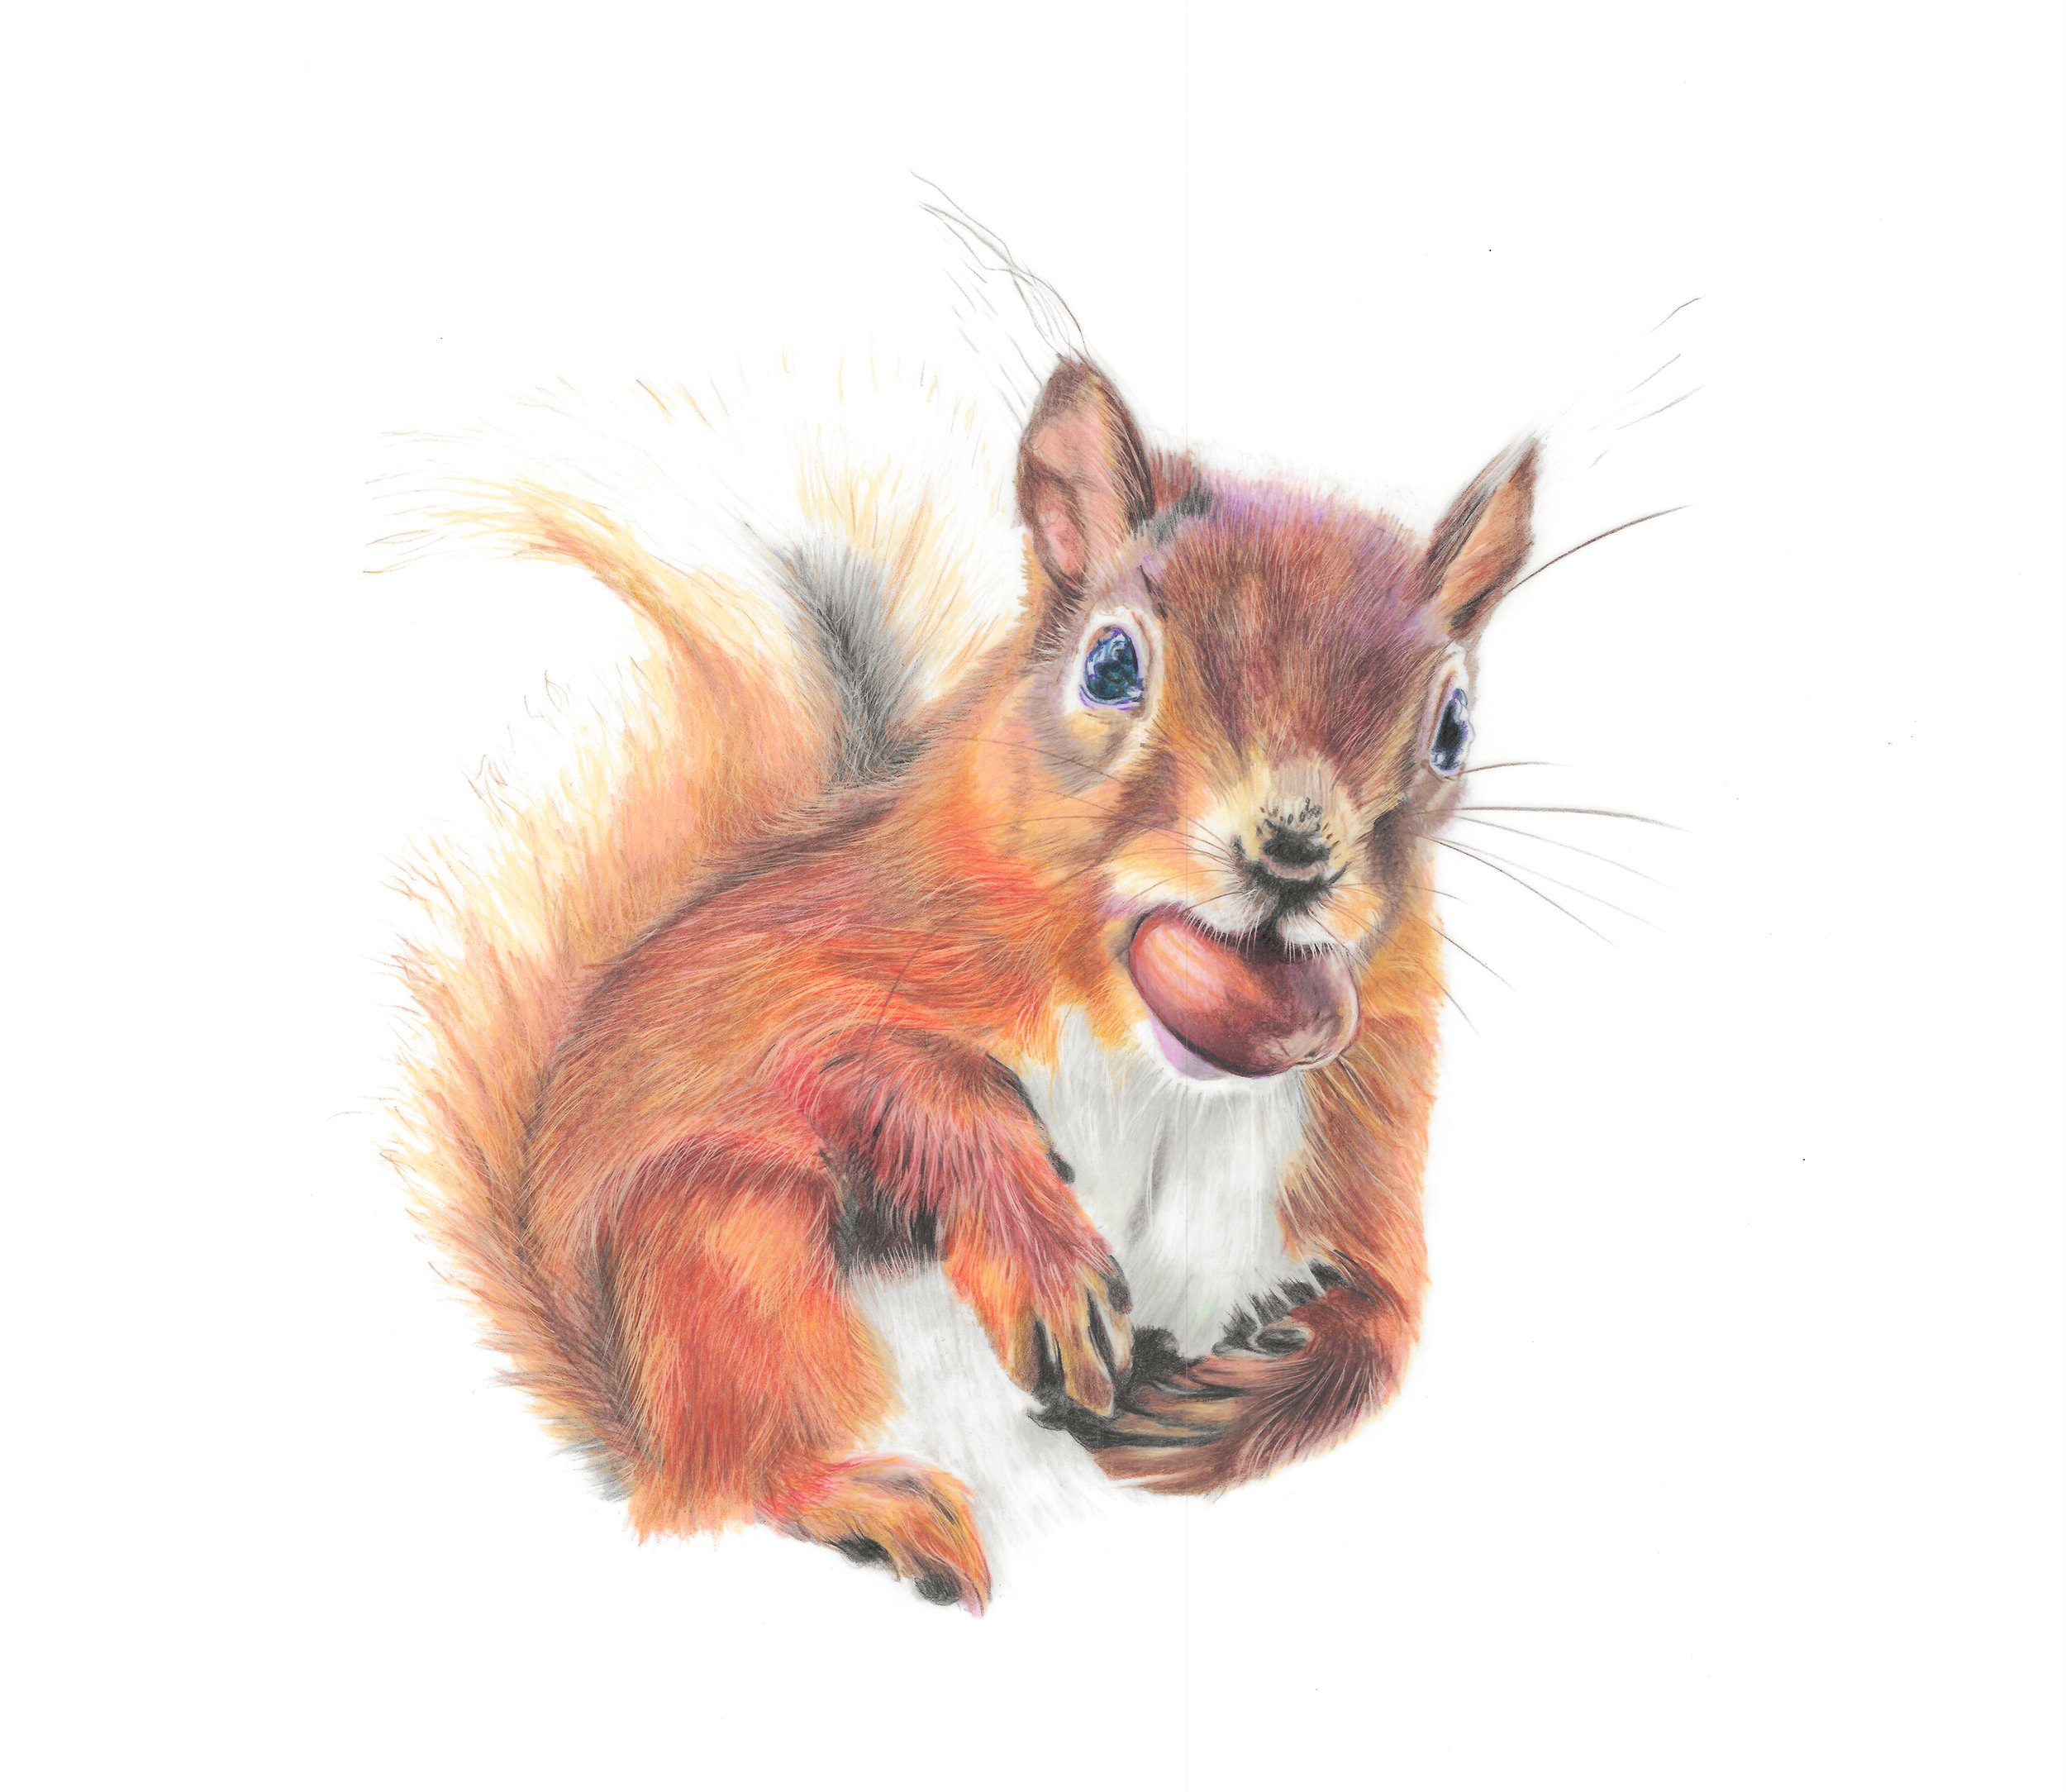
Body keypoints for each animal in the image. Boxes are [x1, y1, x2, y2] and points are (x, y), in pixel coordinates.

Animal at [392, 330, 1539, 1614]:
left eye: (1452, 728)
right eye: (1110, 664)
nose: (1293, 850)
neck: (1151, 1051)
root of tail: (632, 1433)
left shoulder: (1360, 1110)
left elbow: (1387, 1314)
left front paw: (1238, 1406)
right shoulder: (771, 969)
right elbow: (845, 1064)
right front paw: (1042, 1257)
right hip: (719, 1264)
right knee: (726, 1472)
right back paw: (860, 1499)